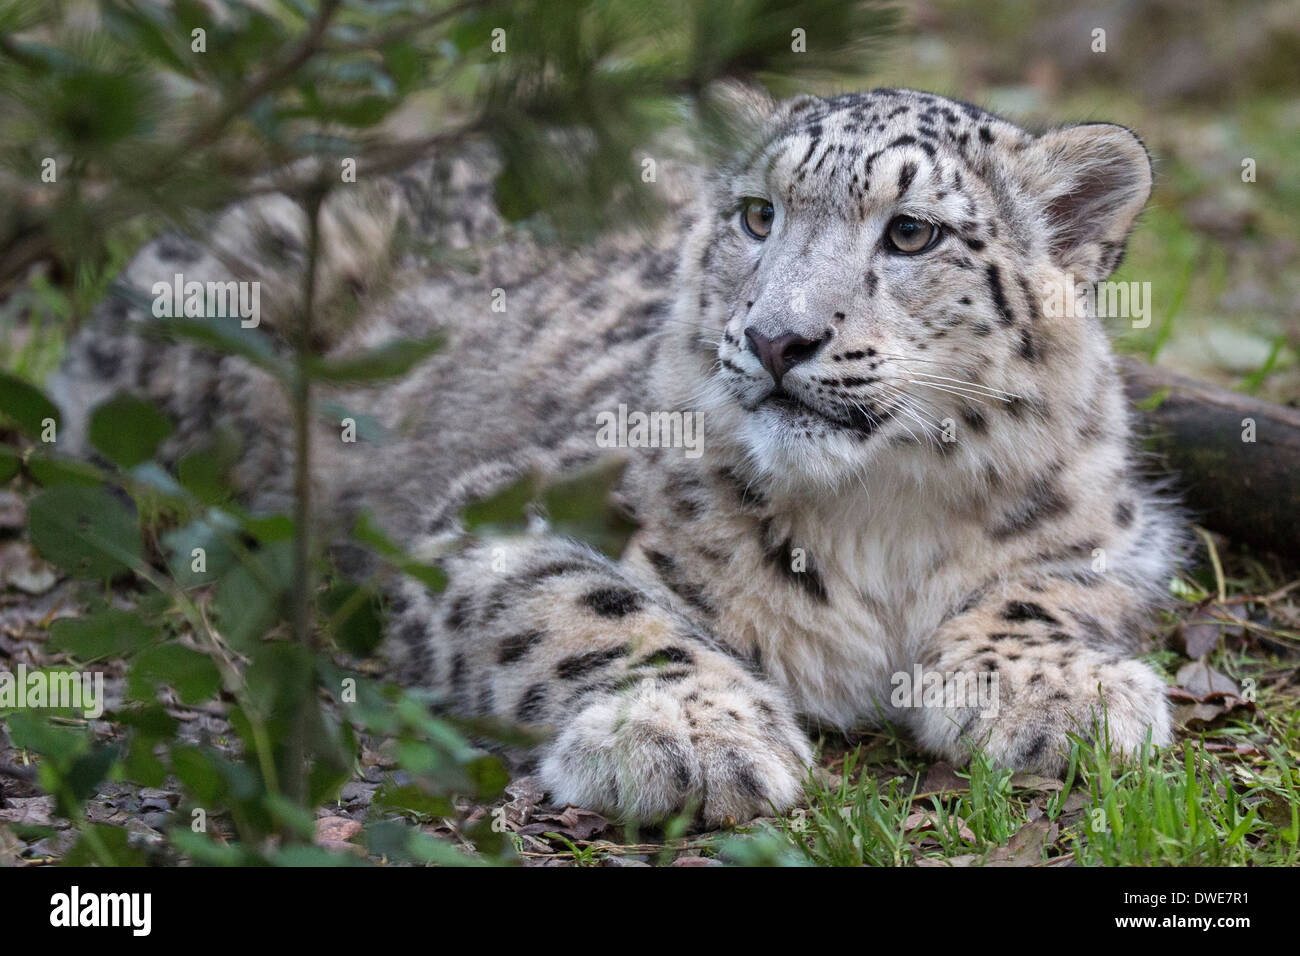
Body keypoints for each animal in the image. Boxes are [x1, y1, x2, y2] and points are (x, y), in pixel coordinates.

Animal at [50, 86, 1186, 825]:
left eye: (911, 233)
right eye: (757, 215)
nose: (776, 337)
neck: (880, 512)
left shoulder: (1116, 529)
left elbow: (1044, 586)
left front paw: (1062, 693)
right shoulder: (500, 517)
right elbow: (587, 608)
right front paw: (686, 734)